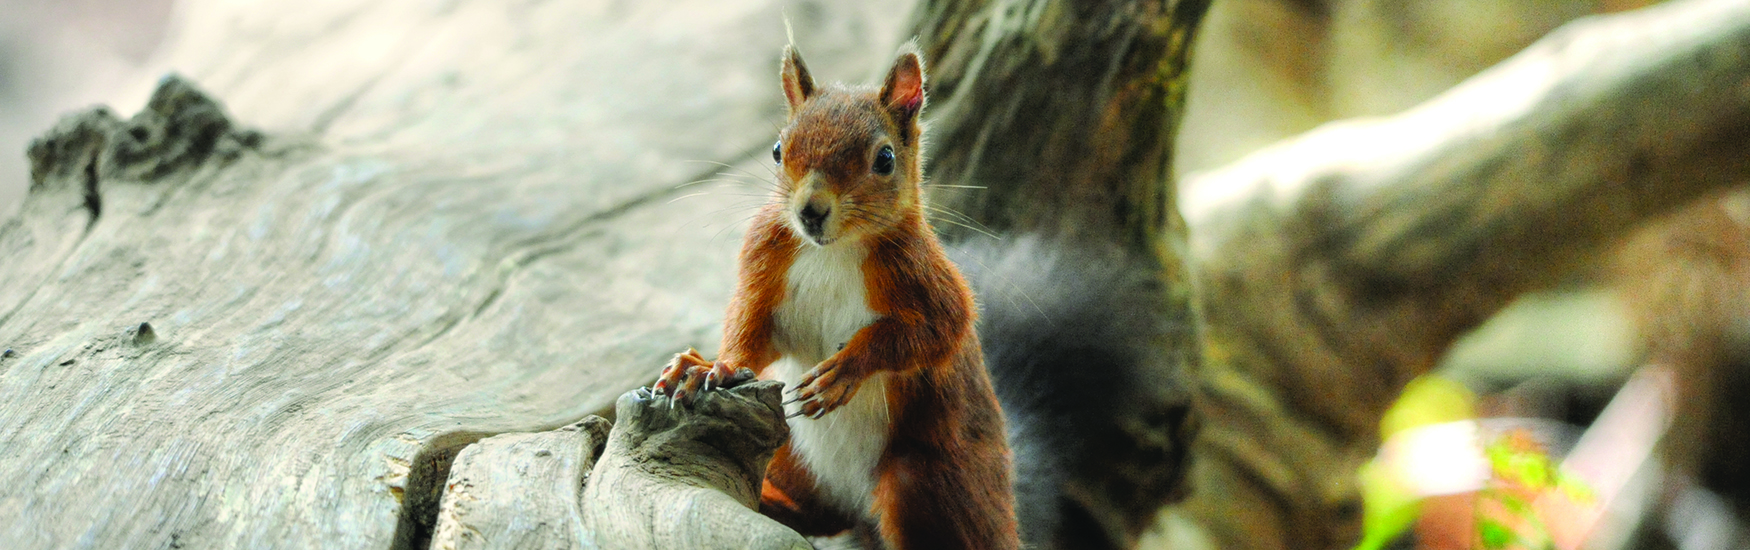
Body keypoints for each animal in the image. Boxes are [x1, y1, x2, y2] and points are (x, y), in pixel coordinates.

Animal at [651, 44, 1022, 550]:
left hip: (927, 482)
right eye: (778, 150)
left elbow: (936, 332)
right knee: (817, 514)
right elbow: (750, 329)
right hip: (790, 456)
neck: (833, 251)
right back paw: (773, 501)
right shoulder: (765, 264)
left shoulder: (929, 283)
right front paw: (710, 366)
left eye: (885, 158)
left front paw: (844, 369)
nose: (810, 211)